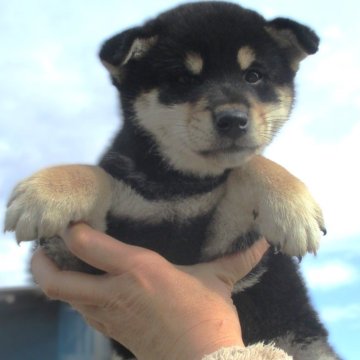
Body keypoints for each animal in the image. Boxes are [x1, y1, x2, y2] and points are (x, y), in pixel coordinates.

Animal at [4, 1, 340, 358]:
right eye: (181, 79)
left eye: (253, 76)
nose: (233, 119)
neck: (180, 185)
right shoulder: (81, 252)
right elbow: (100, 174)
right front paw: (47, 194)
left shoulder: (233, 244)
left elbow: (248, 165)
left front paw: (292, 210)